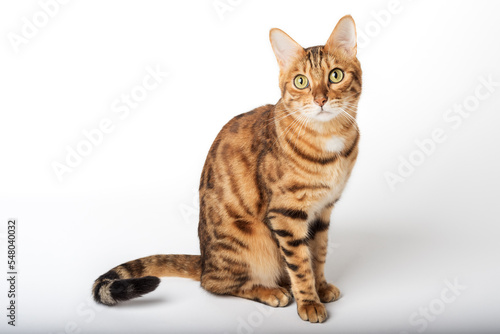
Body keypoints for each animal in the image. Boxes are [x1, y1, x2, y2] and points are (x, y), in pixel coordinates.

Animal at [92, 15, 362, 324]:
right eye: (301, 81)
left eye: (335, 76)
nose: (320, 100)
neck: (329, 141)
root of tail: (204, 260)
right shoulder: (287, 214)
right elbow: (300, 263)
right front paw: (309, 302)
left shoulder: (323, 210)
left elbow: (318, 255)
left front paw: (321, 287)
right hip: (248, 240)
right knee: (215, 283)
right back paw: (271, 291)